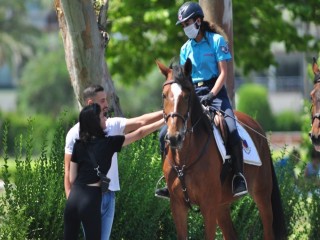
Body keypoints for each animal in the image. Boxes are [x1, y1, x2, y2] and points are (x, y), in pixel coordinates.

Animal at [156, 58, 286, 240]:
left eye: (187, 96)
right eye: (164, 95)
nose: (175, 137)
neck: (185, 158)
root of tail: (256, 126)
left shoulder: (208, 205)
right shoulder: (178, 205)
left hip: (262, 196)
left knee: (268, 230)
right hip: (222, 205)